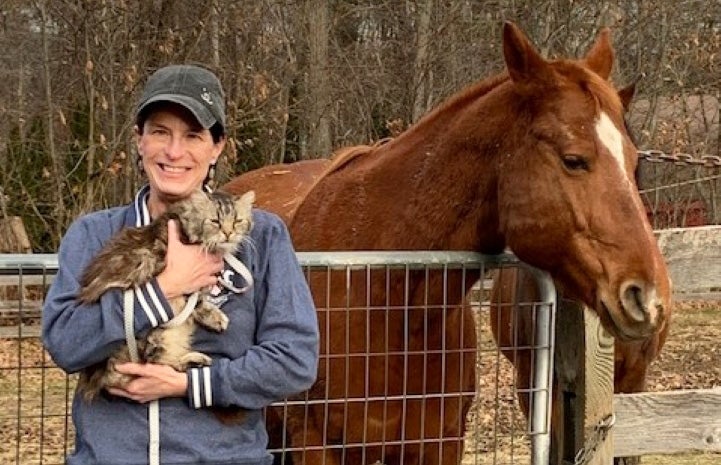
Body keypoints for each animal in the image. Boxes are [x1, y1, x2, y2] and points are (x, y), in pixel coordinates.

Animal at [224, 23, 668, 464]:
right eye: (573, 160)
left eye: (634, 162)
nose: (650, 298)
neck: (387, 303)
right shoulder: (316, 446)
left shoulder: (440, 442)